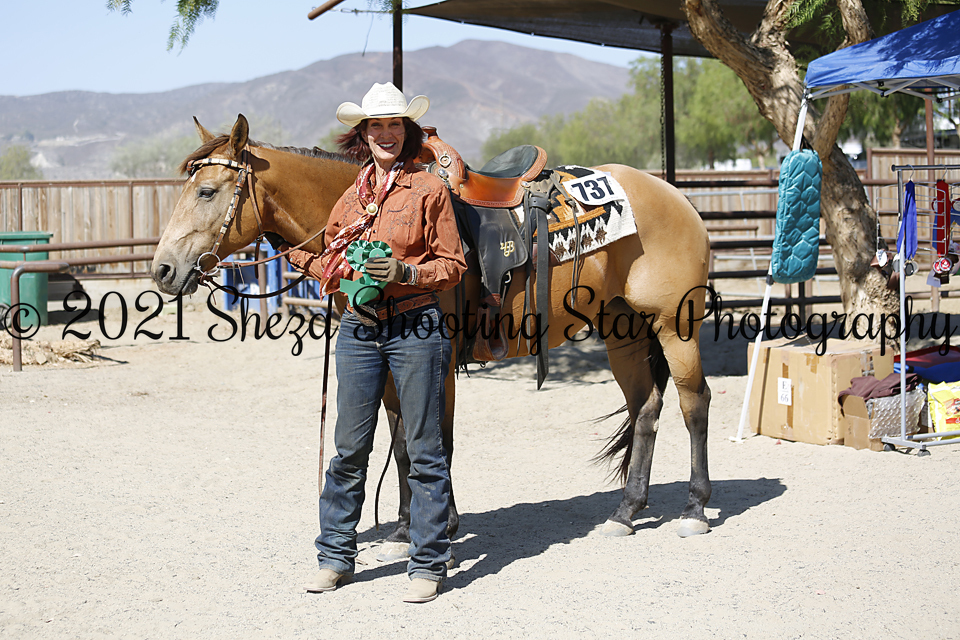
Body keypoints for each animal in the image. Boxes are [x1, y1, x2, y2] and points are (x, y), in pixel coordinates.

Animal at [151, 114, 713, 554]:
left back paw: (694, 510)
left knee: (694, 404)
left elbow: (432, 440)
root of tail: (676, 196)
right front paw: (405, 527)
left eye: (207, 191)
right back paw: (626, 512)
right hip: (625, 330)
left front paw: (437, 525)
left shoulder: (435, 364)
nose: (162, 269)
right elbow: (402, 442)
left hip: (675, 327)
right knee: (646, 408)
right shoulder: (388, 366)